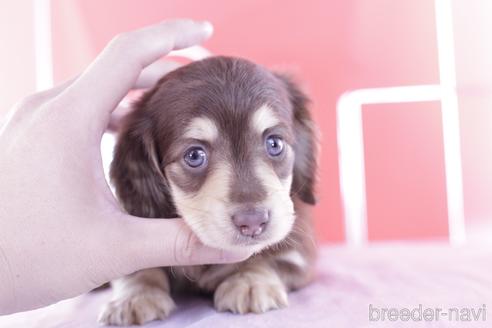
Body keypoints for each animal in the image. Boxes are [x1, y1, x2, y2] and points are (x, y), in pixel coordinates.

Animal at [98, 56, 318, 326]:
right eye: (194, 155)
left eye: (274, 143)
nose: (252, 222)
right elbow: (136, 266)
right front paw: (134, 295)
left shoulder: (299, 251)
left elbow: (269, 256)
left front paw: (250, 280)